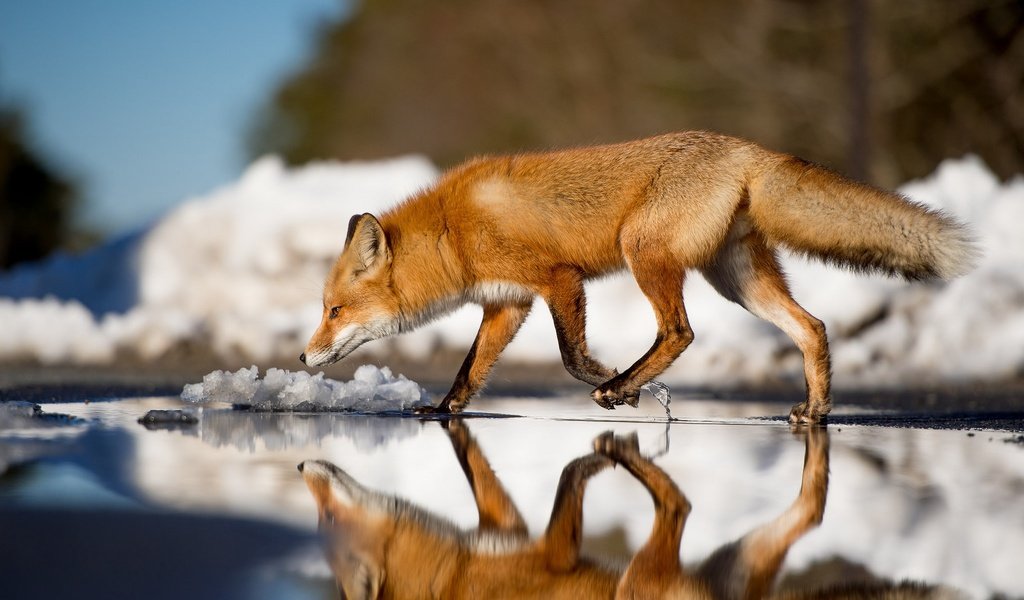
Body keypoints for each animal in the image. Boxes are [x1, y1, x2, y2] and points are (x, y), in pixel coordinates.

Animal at [299, 131, 974, 419]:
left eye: (333, 310)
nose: (304, 358)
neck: (451, 230)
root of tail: (747, 148)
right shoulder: (507, 304)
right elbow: (469, 371)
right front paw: (442, 411)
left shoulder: (558, 279)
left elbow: (572, 357)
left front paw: (611, 378)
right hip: (737, 280)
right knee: (812, 327)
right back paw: (816, 411)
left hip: (643, 251)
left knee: (680, 332)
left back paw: (624, 385)